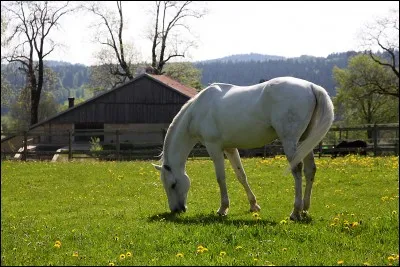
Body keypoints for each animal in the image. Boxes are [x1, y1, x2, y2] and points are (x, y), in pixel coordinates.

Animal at [153, 76, 334, 221]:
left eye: (173, 185)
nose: (176, 210)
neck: (197, 111)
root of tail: (311, 86)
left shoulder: (214, 147)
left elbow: (221, 178)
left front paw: (223, 209)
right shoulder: (230, 148)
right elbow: (241, 176)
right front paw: (254, 205)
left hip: (290, 140)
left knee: (297, 169)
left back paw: (295, 212)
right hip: (305, 141)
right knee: (310, 170)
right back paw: (305, 209)